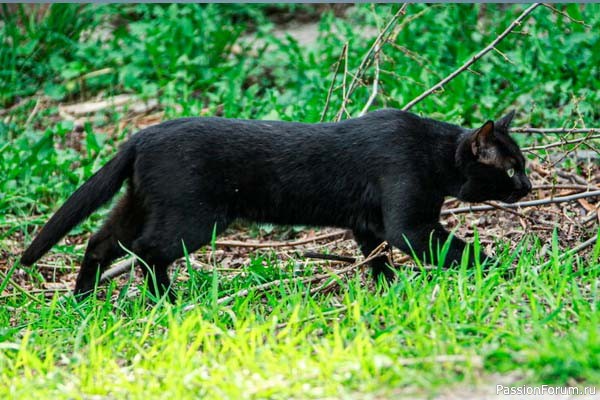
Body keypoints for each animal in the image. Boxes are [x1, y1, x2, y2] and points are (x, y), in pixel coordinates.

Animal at [21, 109, 532, 300]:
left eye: (522, 166)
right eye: (509, 169)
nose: (527, 186)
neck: (432, 154)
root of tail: (141, 135)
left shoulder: (368, 224)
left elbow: (377, 260)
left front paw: (389, 294)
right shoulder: (408, 224)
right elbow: (460, 251)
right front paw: (505, 270)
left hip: (138, 205)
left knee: (99, 240)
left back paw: (83, 299)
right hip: (191, 219)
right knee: (146, 253)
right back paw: (167, 302)